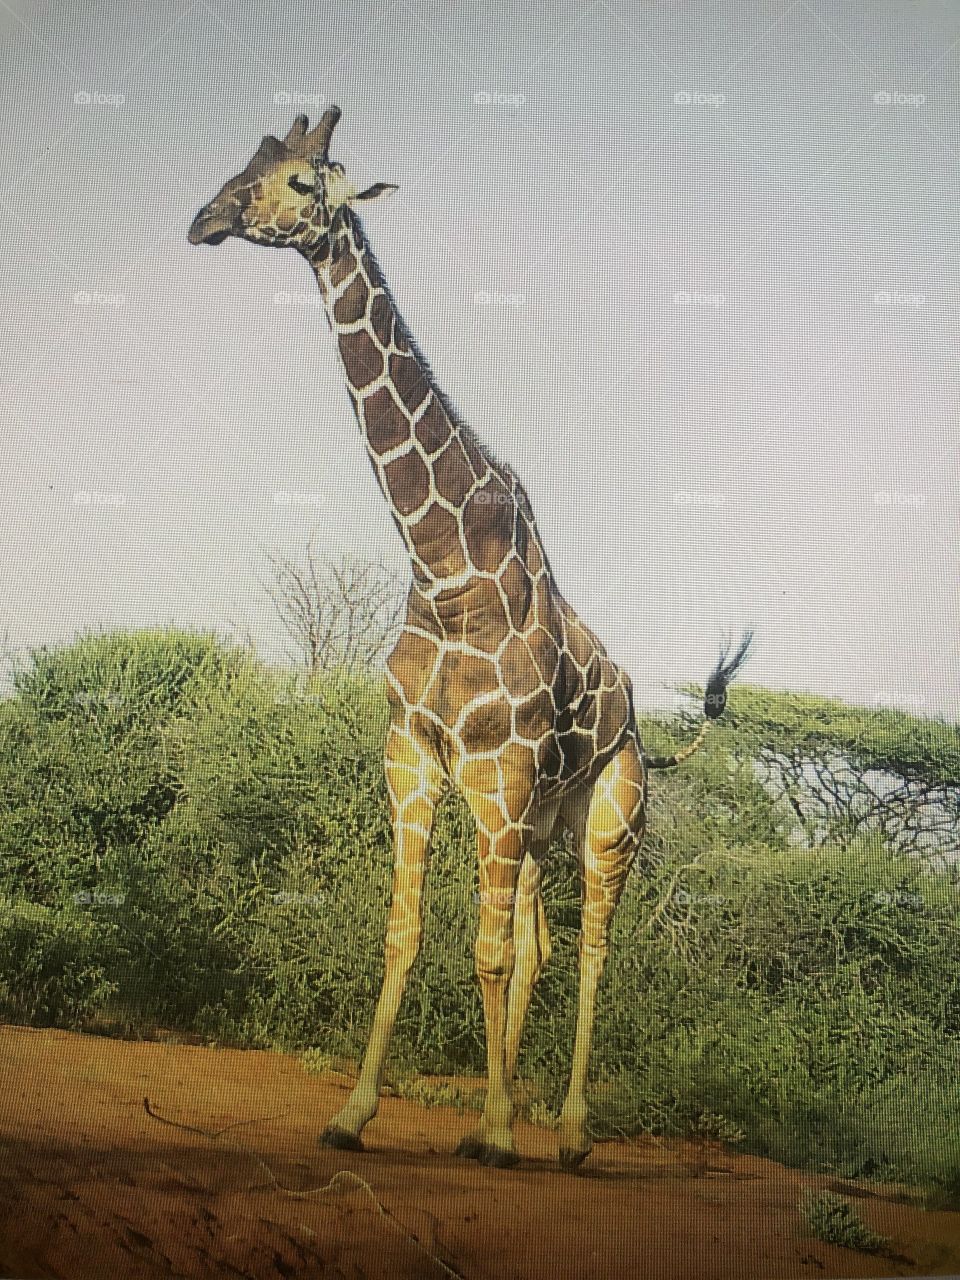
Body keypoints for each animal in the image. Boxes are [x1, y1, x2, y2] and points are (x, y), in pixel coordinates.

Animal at [189, 107, 753, 1170]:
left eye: (300, 182)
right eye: (243, 165)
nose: (203, 219)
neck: (443, 563)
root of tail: (647, 733)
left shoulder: (498, 768)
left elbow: (482, 951)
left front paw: (494, 1130)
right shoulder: (413, 756)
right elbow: (406, 934)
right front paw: (357, 1113)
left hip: (606, 821)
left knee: (593, 948)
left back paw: (565, 1134)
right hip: (532, 829)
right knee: (538, 943)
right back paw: (512, 1116)